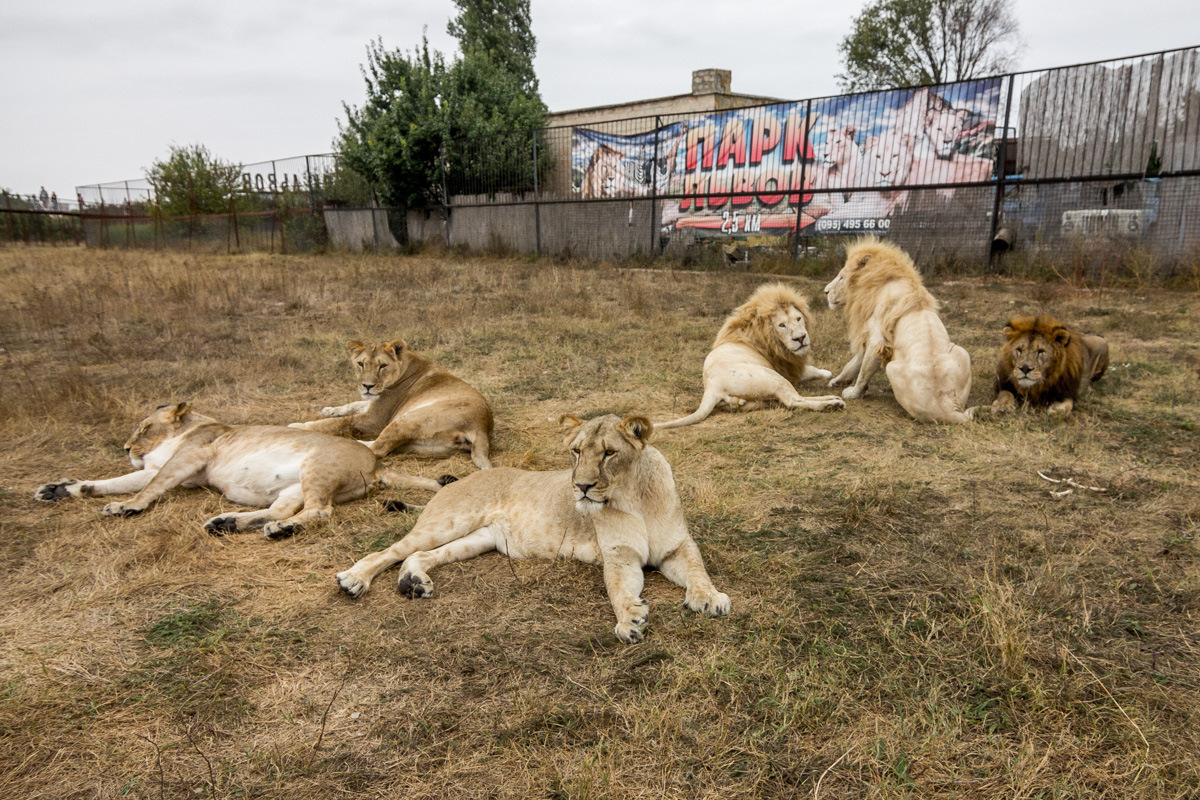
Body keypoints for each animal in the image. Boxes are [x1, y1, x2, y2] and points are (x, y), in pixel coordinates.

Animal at [37, 402, 451, 542]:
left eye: (143, 428)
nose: (125, 448)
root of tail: (377, 462)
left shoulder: (190, 458)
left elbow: (149, 487)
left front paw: (128, 507)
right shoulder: (172, 469)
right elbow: (113, 483)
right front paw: (62, 489)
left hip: (317, 468)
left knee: (319, 511)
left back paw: (280, 531)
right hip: (293, 486)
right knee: (281, 509)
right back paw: (228, 523)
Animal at [292, 338, 494, 470]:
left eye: (382, 366)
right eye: (361, 364)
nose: (367, 386)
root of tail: (481, 426)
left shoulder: (375, 419)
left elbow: (338, 422)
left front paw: (299, 426)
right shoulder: (373, 405)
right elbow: (353, 404)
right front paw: (329, 409)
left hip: (405, 420)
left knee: (377, 450)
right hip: (419, 445)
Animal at [338, 412, 729, 642]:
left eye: (608, 453)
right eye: (576, 451)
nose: (581, 486)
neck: (632, 495)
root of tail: (454, 482)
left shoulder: (677, 547)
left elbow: (698, 571)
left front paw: (709, 599)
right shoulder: (620, 557)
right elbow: (619, 590)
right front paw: (630, 619)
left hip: (477, 539)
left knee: (419, 555)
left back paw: (414, 583)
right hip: (448, 521)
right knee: (389, 551)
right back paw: (353, 580)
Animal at [657, 283, 844, 429]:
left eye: (798, 319)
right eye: (782, 325)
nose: (801, 338)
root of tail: (712, 386)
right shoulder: (785, 368)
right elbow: (810, 369)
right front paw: (827, 373)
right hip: (772, 377)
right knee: (793, 400)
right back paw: (833, 403)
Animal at [825, 237, 974, 424]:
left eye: (841, 278)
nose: (825, 291)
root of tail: (948, 408)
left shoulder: (877, 339)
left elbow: (864, 370)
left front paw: (853, 392)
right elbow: (853, 364)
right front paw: (837, 381)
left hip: (891, 367)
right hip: (963, 352)